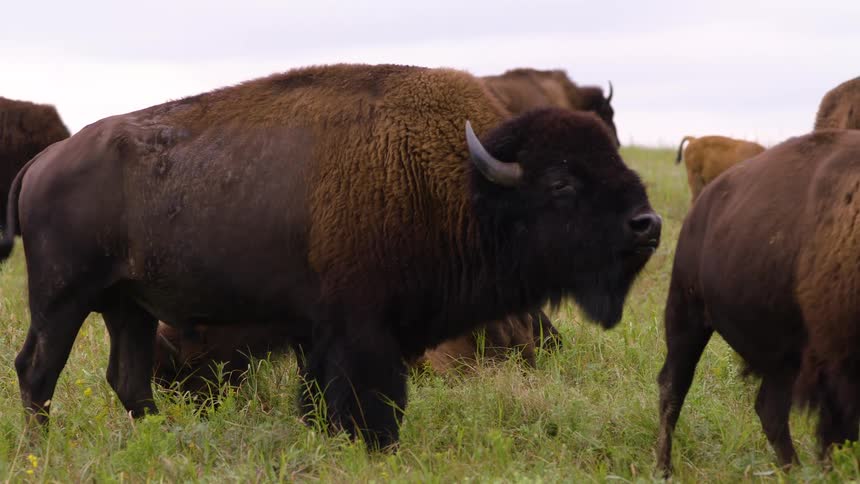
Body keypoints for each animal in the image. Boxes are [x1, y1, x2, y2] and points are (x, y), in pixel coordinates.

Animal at [657, 129, 860, 475]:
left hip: (785, 354)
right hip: (686, 314)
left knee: (769, 409)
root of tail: (703, 205)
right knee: (672, 387)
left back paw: (793, 471)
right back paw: (663, 469)